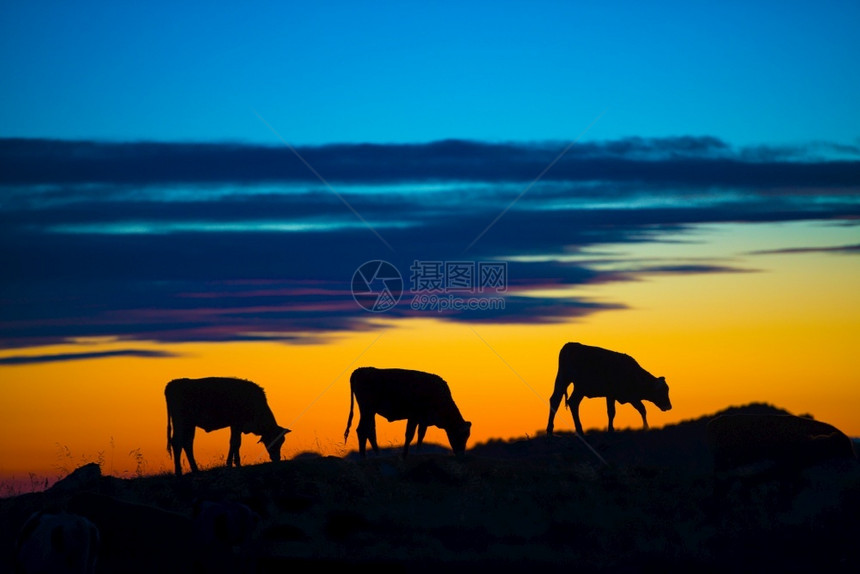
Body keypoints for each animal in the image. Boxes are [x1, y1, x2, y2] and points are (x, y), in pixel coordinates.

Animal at [342, 368, 474, 460]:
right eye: (462, 435)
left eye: (467, 436)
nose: (462, 455)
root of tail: (360, 370)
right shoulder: (413, 416)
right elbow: (410, 435)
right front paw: (405, 455)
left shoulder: (423, 420)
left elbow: (420, 436)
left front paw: (418, 453)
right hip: (367, 410)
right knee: (362, 430)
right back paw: (363, 457)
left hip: (369, 412)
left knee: (369, 431)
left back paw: (377, 454)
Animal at [544, 342, 672, 436]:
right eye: (662, 391)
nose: (669, 406)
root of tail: (569, 345)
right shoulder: (611, 394)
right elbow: (611, 412)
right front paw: (611, 429)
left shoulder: (632, 397)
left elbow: (642, 409)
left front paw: (646, 427)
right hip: (573, 384)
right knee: (565, 401)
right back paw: (572, 430)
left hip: (570, 384)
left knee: (562, 401)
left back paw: (558, 430)